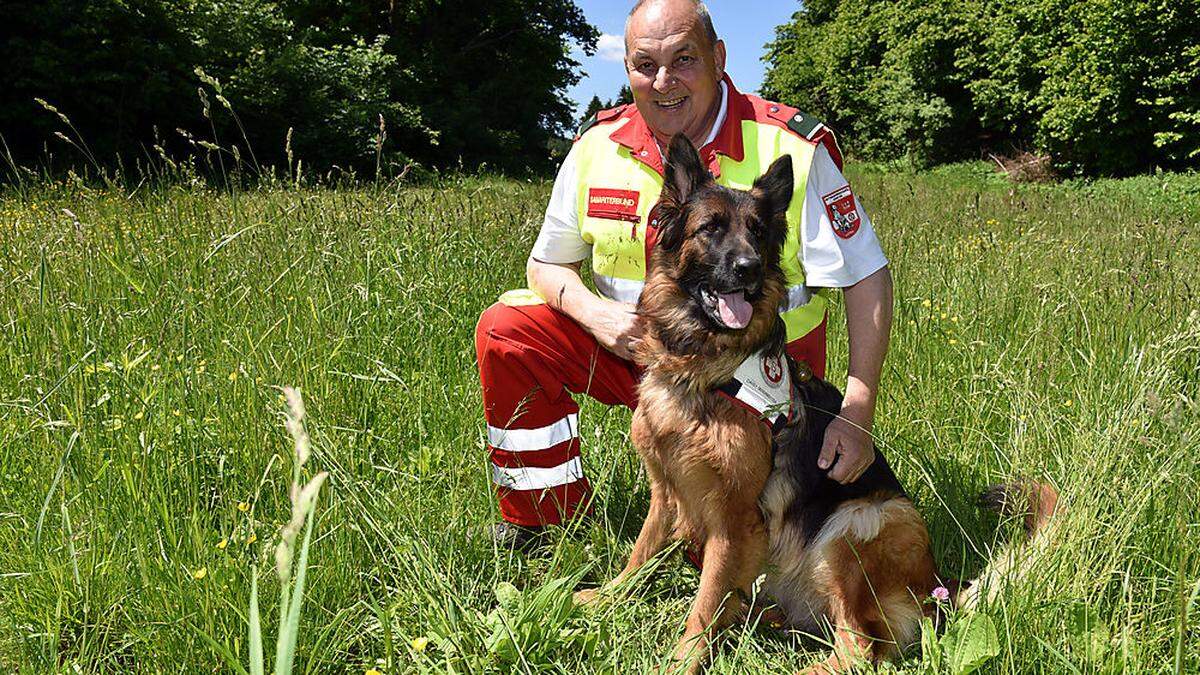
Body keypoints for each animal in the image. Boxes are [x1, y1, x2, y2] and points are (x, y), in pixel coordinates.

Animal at [580, 133, 1060, 667]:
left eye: (758, 232)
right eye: (710, 229)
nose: (748, 269)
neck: (703, 372)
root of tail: (938, 586)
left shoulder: (734, 519)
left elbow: (704, 605)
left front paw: (683, 660)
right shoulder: (667, 492)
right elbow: (640, 555)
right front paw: (604, 598)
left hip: (854, 526)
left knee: (861, 649)